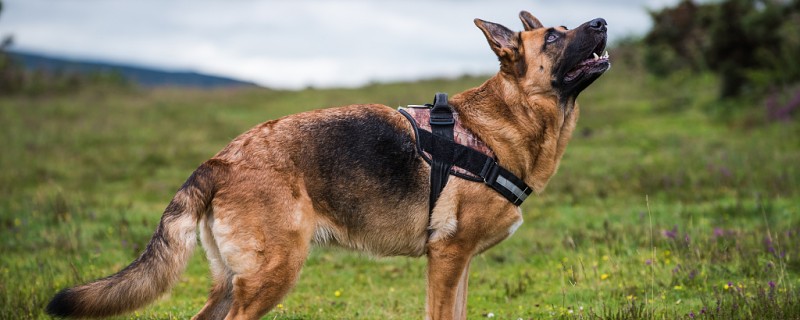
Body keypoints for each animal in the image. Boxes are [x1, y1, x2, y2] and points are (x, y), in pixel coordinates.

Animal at [47, 10, 608, 320]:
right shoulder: (447, 259)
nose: (604, 22)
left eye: (567, 28)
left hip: (234, 280)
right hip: (273, 274)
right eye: (553, 38)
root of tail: (220, 160)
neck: (504, 123)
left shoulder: (460, 263)